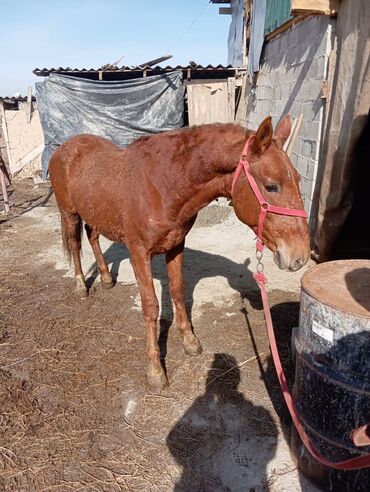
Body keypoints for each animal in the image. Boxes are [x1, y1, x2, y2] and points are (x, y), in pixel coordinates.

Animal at [48, 115, 310, 388]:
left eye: (298, 179)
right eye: (271, 186)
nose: (299, 256)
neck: (163, 184)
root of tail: (64, 148)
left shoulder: (176, 245)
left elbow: (177, 290)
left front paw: (190, 342)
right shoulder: (139, 253)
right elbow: (151, 306)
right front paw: (155, 370)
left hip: (94, 214)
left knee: (93, 236)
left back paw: (107, 277)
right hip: (69, 213)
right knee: (75, 245)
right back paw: (81, 285)